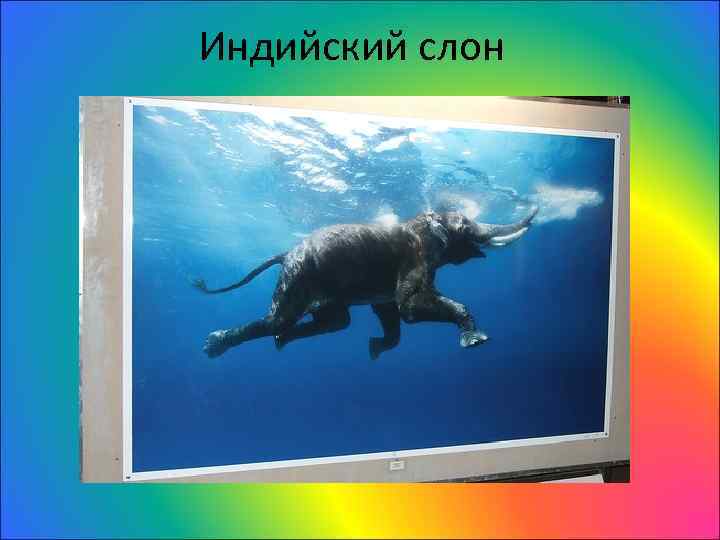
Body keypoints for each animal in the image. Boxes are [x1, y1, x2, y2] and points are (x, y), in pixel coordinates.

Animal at [194, 206, 539, 360]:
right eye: (465, 226)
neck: (423, 222)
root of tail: (285, 254)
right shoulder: (414, 259)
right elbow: (409, 309)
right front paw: (477, 341)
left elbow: (391, 313)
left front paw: (374, 349)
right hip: (298, 275)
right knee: (277, 319)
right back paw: (213, 344)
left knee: (335, 322)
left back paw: (281, 341)